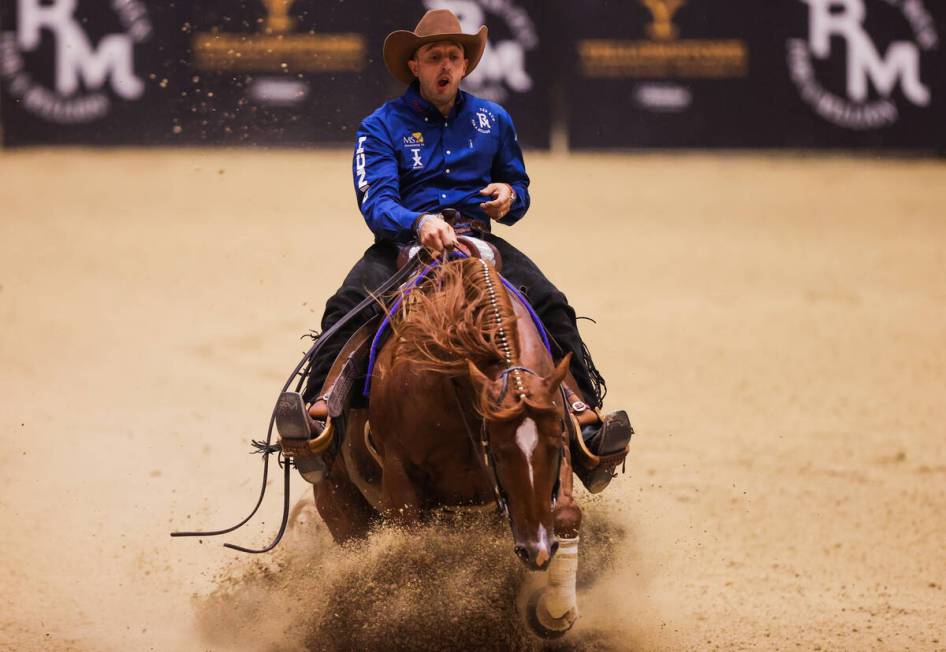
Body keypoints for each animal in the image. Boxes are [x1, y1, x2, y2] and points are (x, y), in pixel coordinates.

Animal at [314, 256, 588, 636]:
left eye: (555, 445)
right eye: (498, 452)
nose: (538, 549)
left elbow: (566, 514)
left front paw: (555, 611)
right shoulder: (399, 478)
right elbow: (413, 550)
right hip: (341, 511)